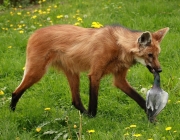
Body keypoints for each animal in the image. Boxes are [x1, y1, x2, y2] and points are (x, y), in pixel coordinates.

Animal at [10, 24, 169, 117]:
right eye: (150, 55)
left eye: (157, 55)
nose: (160, 70)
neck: (119, 46)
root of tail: (34, 33)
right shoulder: (95, 74)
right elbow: (94, 102)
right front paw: (93, 118)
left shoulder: (120, 80)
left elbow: (139, 98)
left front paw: (153, 117)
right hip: (37, 72)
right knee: (15, 92)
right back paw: (11, 113)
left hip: (73, 73)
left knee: (75, 101)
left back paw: (84, 115)